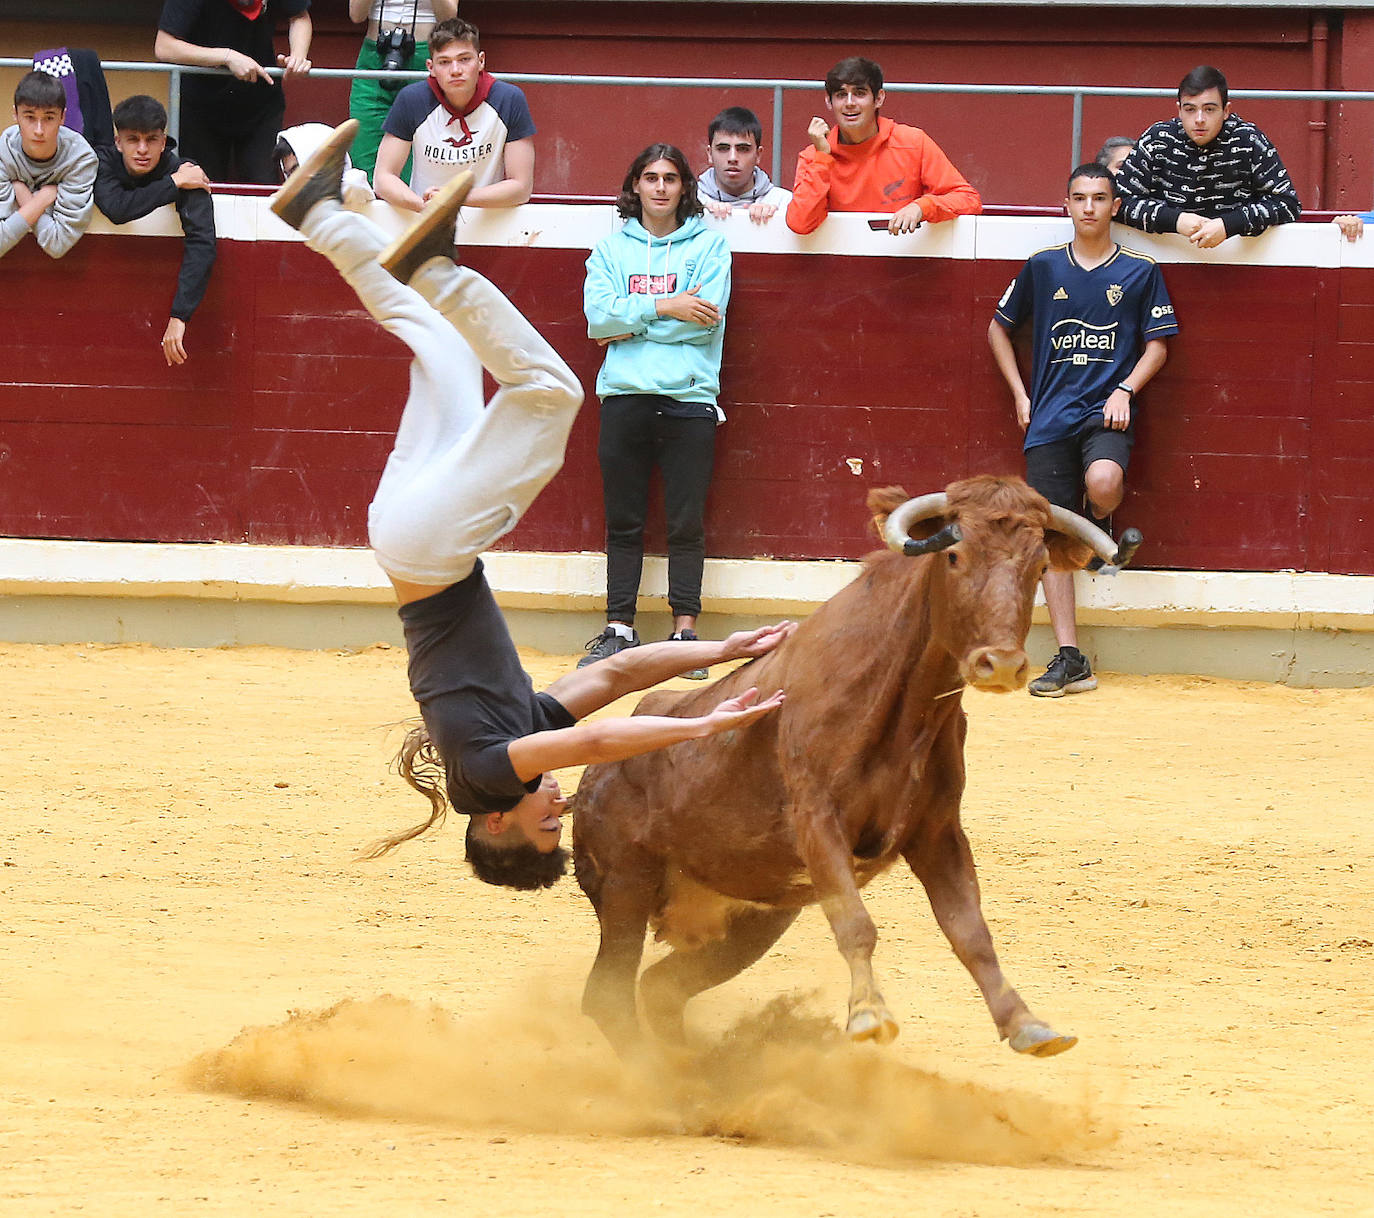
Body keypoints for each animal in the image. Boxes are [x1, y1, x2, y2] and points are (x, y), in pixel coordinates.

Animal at [571, 475, 1137, 1061]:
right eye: (953, 555)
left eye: (1039, 566)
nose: (1000, 664)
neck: (908, 702)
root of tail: (592, 776)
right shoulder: (817, 818)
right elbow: (856, 924)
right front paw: (868, 1014)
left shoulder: (937, 831)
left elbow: (971, 933)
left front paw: (1027, 1024)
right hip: (626, 883)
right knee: (608, 995)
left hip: (758, 914)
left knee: (661, 987)